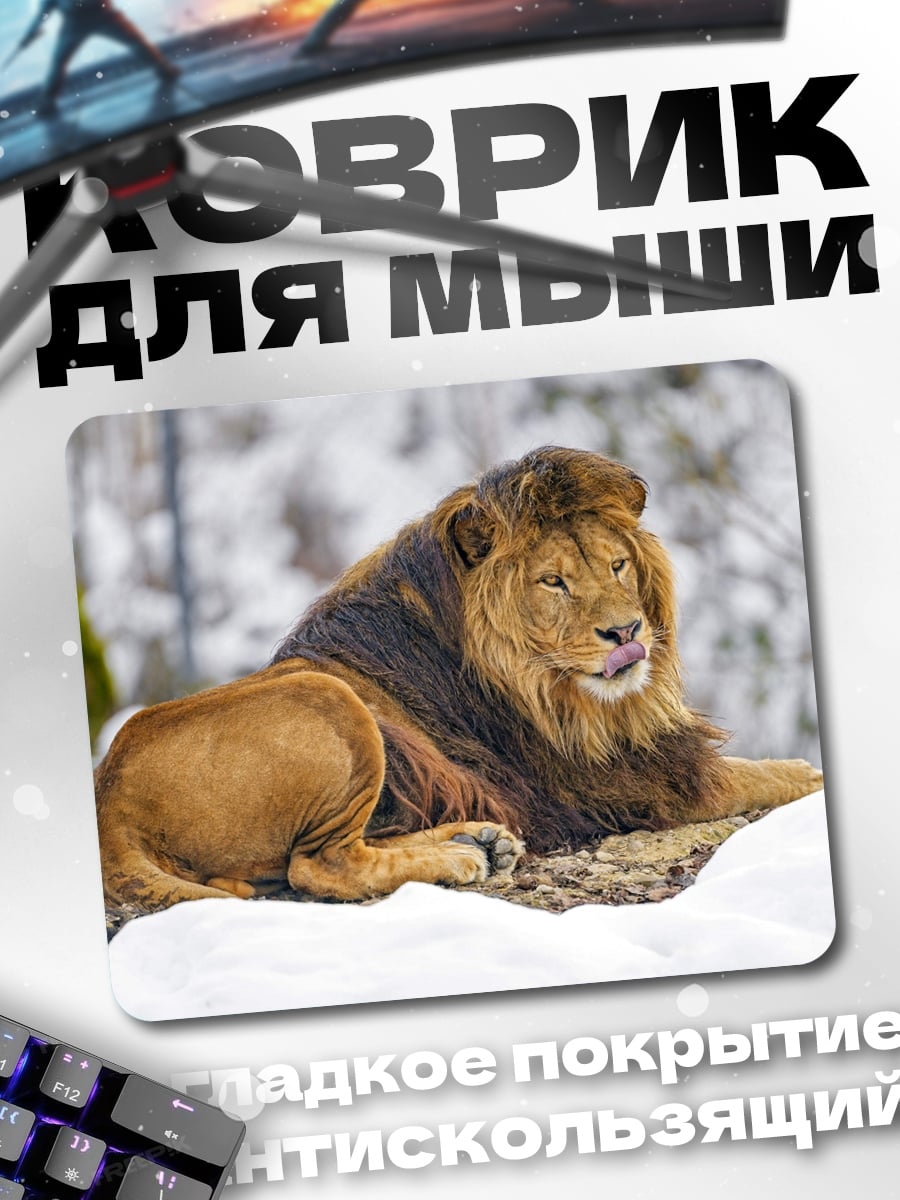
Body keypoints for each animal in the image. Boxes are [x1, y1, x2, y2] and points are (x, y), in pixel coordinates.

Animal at [94, 445, 823, 909]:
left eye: (617, 565)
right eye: (552, 581)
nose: (626, 634)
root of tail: (107, 800)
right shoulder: (628, 783)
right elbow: (763, 777)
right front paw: (807, 774)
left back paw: (481, 840)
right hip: (330, 700)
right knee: (318, 866)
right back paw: (460, 858)